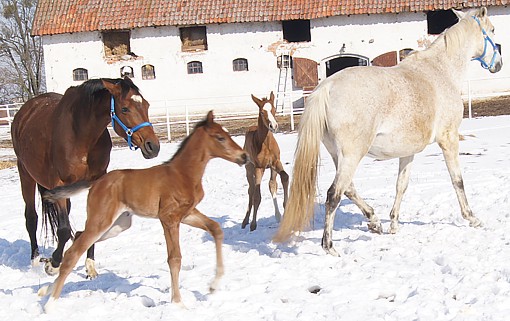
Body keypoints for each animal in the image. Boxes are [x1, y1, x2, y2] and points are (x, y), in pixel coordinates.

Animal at [11, 77, 159, 276]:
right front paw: (53, 264)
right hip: (25, 174)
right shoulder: (57, 183)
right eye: (125, 109)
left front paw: (90, 265)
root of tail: (25, 111)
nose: (153, 146)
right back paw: (35, 260)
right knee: (31, 218)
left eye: (146, 105)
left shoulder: (95, 181)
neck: (79, 134)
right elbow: (63, 229)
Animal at [37, 110, 247, 310]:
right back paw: (50, 304)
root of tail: (96, 182)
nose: (244, 156)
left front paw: (213, 286)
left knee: (79, 236)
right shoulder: (168, 218)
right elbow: (175, 258)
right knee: (73, 252)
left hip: (118, 225)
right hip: (101, 221)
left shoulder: (187, 214)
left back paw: (46, 289)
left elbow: (216, 229)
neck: (183, 173)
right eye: (220, 138)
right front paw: (178, 303)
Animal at [242, 92, 286, 230]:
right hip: (249, 169)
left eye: (274, 109)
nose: (274, 126)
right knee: (251, 190)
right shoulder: (259, 168)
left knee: (272, 184)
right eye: (262, 112)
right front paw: (253, 224)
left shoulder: (276, 163)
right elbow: (257, 196)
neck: (265, 143)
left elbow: (284, 177)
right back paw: (245, 221)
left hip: (271, 168)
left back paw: (278, 216)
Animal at [274, 6, 502, 255]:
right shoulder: (449, 139)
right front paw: (472, 218)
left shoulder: (408, 152)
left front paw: (393, 224)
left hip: (338, 155)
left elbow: (401, 185)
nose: (498, 64)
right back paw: (330, 246)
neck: (441, 71)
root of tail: (327, 86)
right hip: (352, 155)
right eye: (492, 30)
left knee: (348, 189)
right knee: (334, 194)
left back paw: (375, 222)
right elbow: (457, 180)